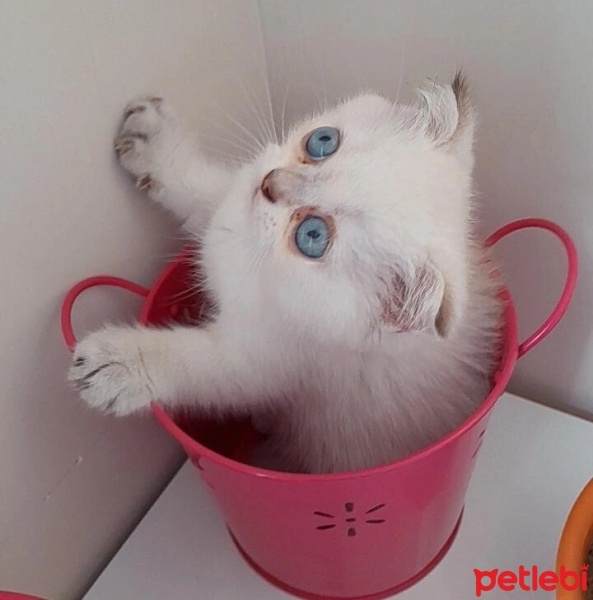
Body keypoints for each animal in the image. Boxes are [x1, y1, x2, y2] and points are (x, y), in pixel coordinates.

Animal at [70, 74, 504, 474]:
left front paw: (116, 365)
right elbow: (205, 188)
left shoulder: (262, 364)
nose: (269, 184)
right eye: (322, 142)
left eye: (312, 236)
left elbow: (197, 366)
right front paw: (153, 141)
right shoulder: (227, 204)